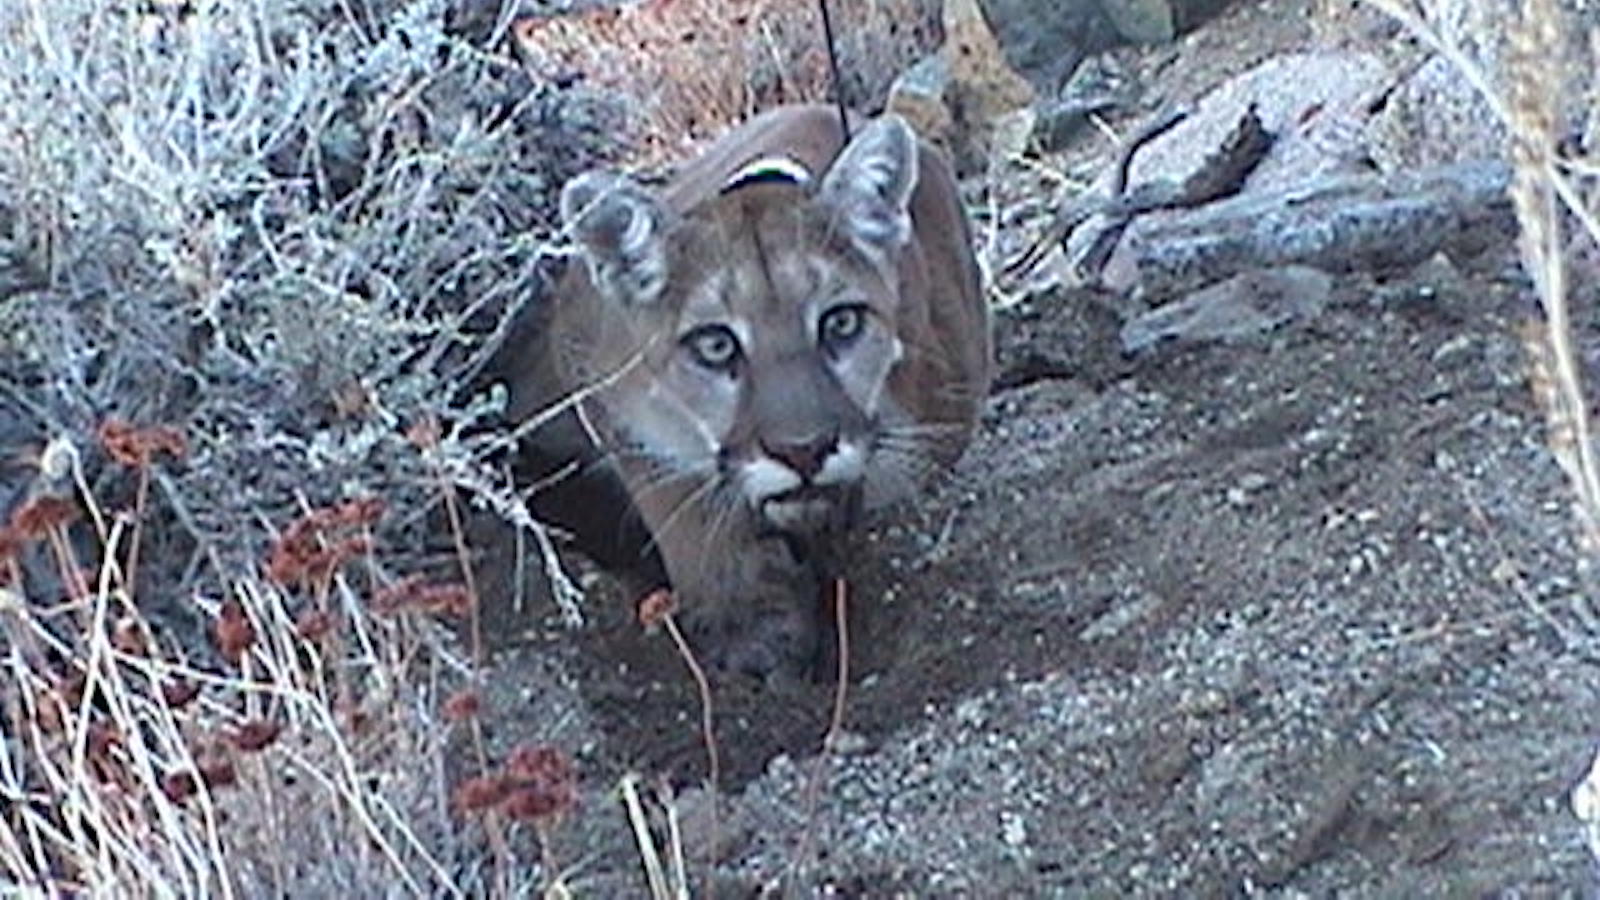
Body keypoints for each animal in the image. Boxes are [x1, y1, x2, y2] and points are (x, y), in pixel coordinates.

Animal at [508, 103, 985, 672]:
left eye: (841, 323)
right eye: (715, 345)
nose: (803, 451)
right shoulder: (597, 376)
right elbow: (684, 512)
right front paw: (751, 631)